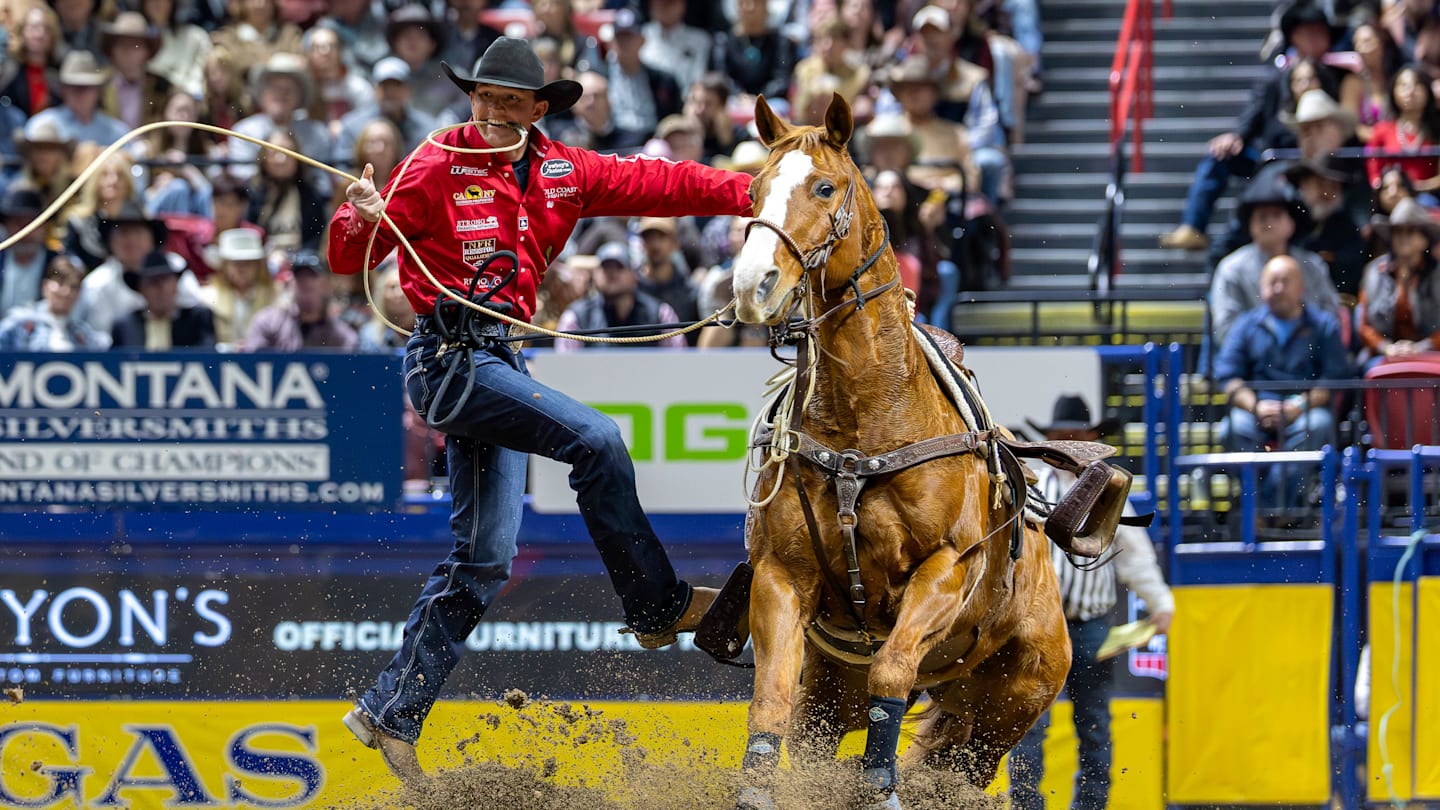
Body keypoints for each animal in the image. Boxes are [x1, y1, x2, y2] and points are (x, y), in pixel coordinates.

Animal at [723, 94, 1073, 809]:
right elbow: (770, 694)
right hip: (837, 690)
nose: (753, 284)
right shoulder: (781, 575)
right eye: (754, 189)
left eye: (824, 187)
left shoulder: (944, 571)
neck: (866, 426)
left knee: (956, 757)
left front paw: (880, 786)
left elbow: (891, 670)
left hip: (1009, 706)